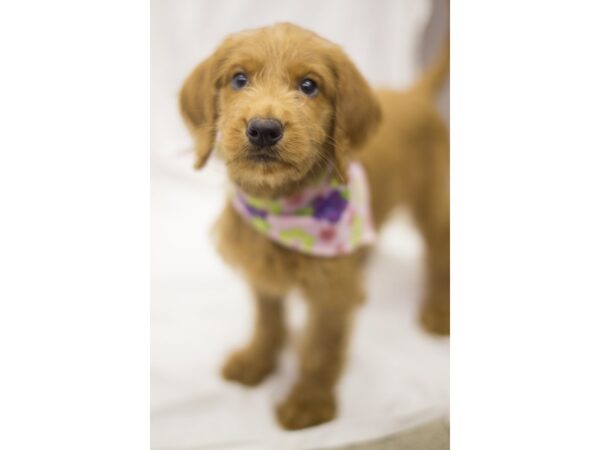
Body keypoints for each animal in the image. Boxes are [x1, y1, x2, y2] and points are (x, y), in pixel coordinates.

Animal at [180, 22, 448, 430]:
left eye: (309, 85)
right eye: (239, 79)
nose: (263, 129)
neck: (281, 203)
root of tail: (413, 94)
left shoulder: (329, 294)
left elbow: (321, 348)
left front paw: (309, 403)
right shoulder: (263, 272)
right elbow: (268, 321)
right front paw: (257, 362)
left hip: (436, 205)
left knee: (438, 256)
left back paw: (437, 311)